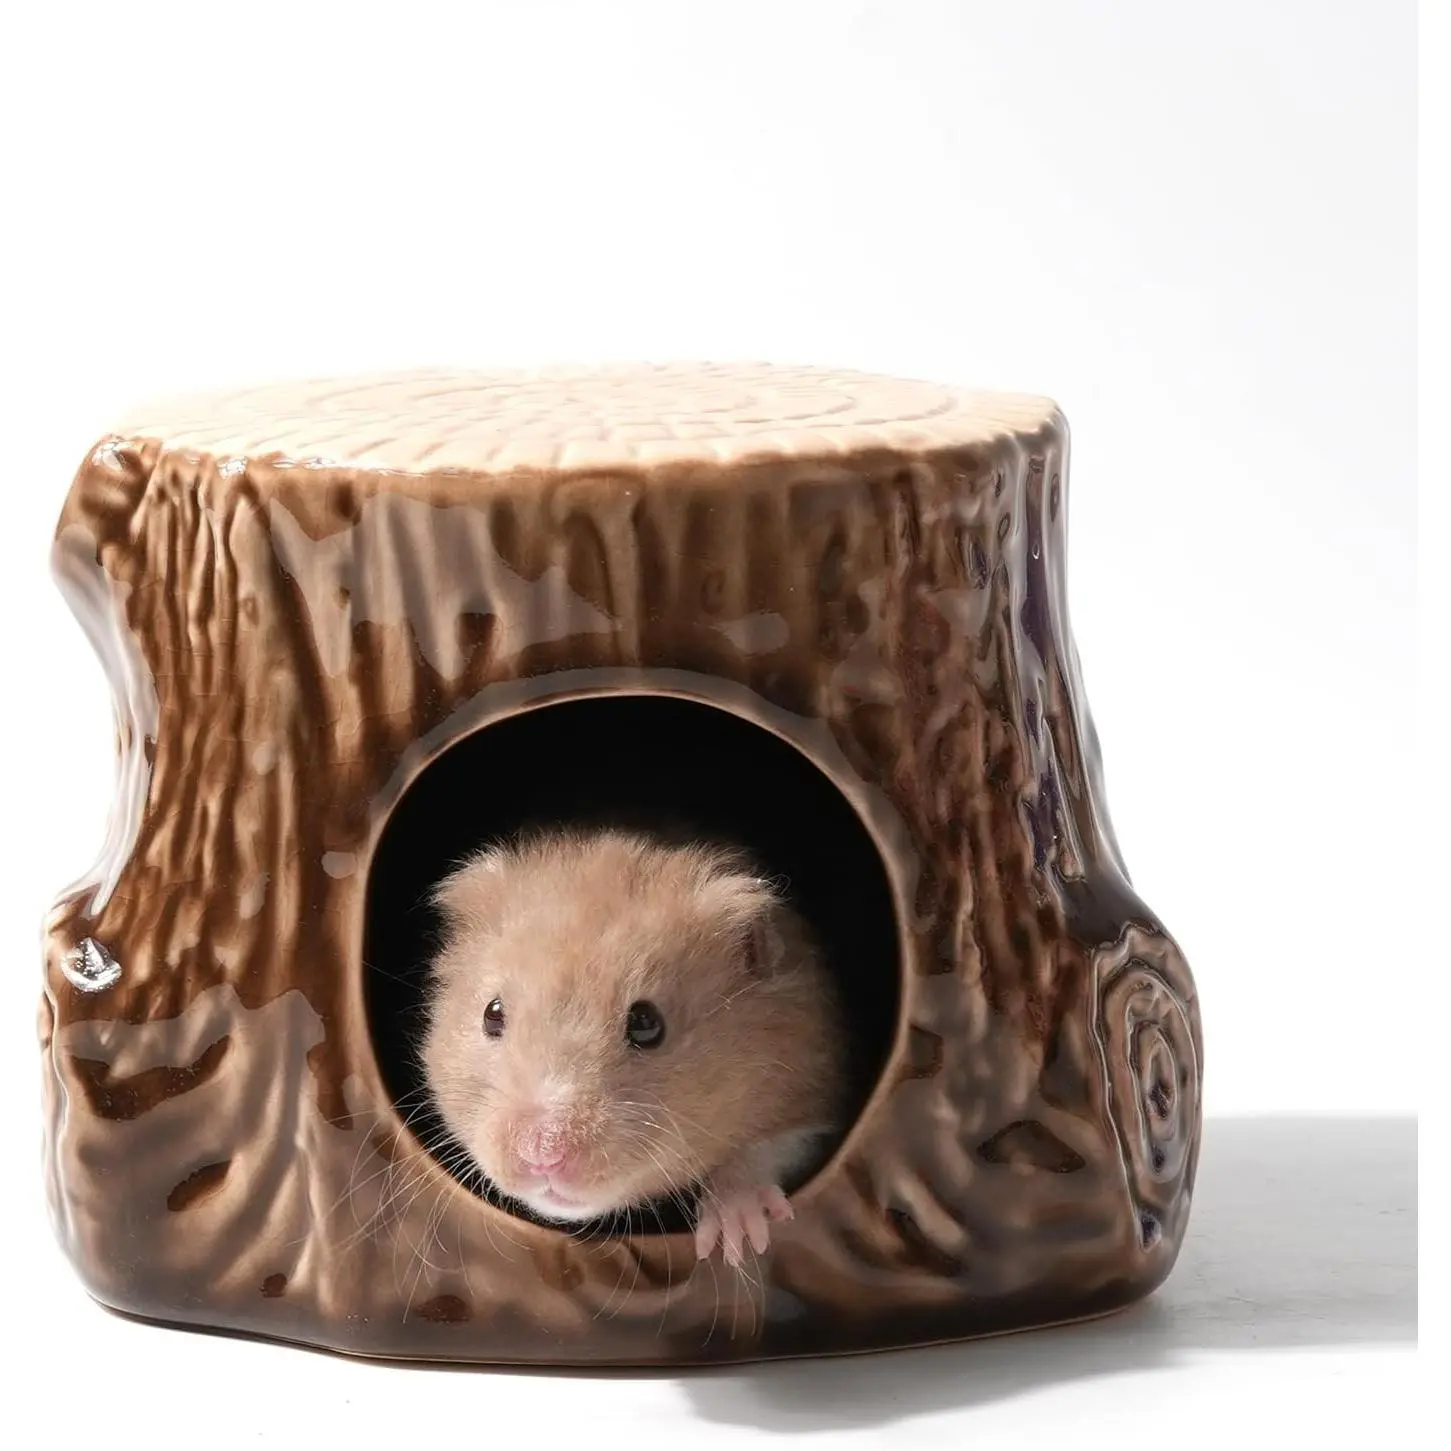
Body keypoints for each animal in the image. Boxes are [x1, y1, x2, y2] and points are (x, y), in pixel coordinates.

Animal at [420, 826, 844, 1267]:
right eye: (492, 1013)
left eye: (646, 1024)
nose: (543, 1154)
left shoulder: (811, 1086)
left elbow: (768, 1147)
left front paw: (737, 1242)